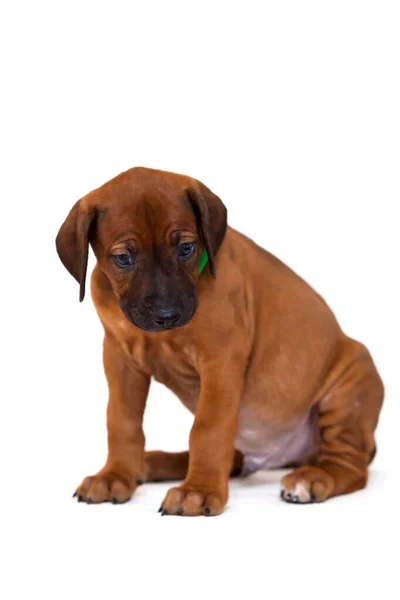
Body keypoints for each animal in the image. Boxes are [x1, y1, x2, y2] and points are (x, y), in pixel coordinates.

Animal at [56, 166, 384, 512]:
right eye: (122, 258)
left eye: (186, 247)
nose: (167, 315)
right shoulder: (119, 358)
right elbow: (121, 420)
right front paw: (115, 475)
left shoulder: (221, 360)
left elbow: (207, 429)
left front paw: (198, 490)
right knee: (232, 459)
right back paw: (149, 463)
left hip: (352, 382)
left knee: (350, 465)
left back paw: (313, 479)